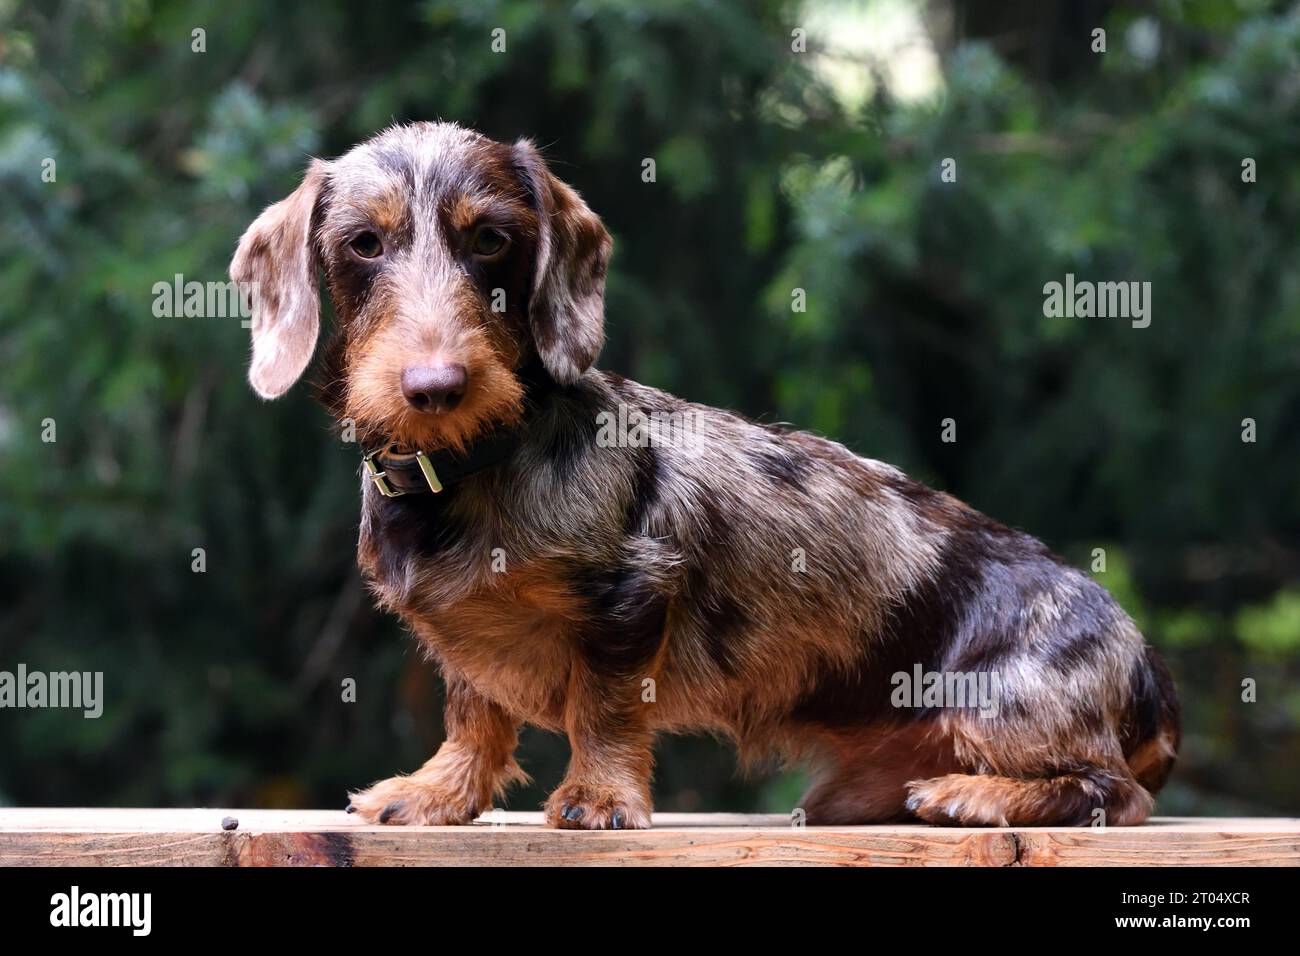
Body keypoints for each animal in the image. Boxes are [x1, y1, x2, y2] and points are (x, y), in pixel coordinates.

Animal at [231, 123, 1180, 832]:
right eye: (364, 244)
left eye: (491, 239)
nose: (435, 387)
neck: (472, 468)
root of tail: (1146, 668)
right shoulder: (469, 639)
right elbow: (475, 711)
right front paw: (438, 793)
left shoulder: (632, 591)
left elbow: (605, 705)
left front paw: (598, 797)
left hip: (999, 705)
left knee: (1116, 793)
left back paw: (973, 797)